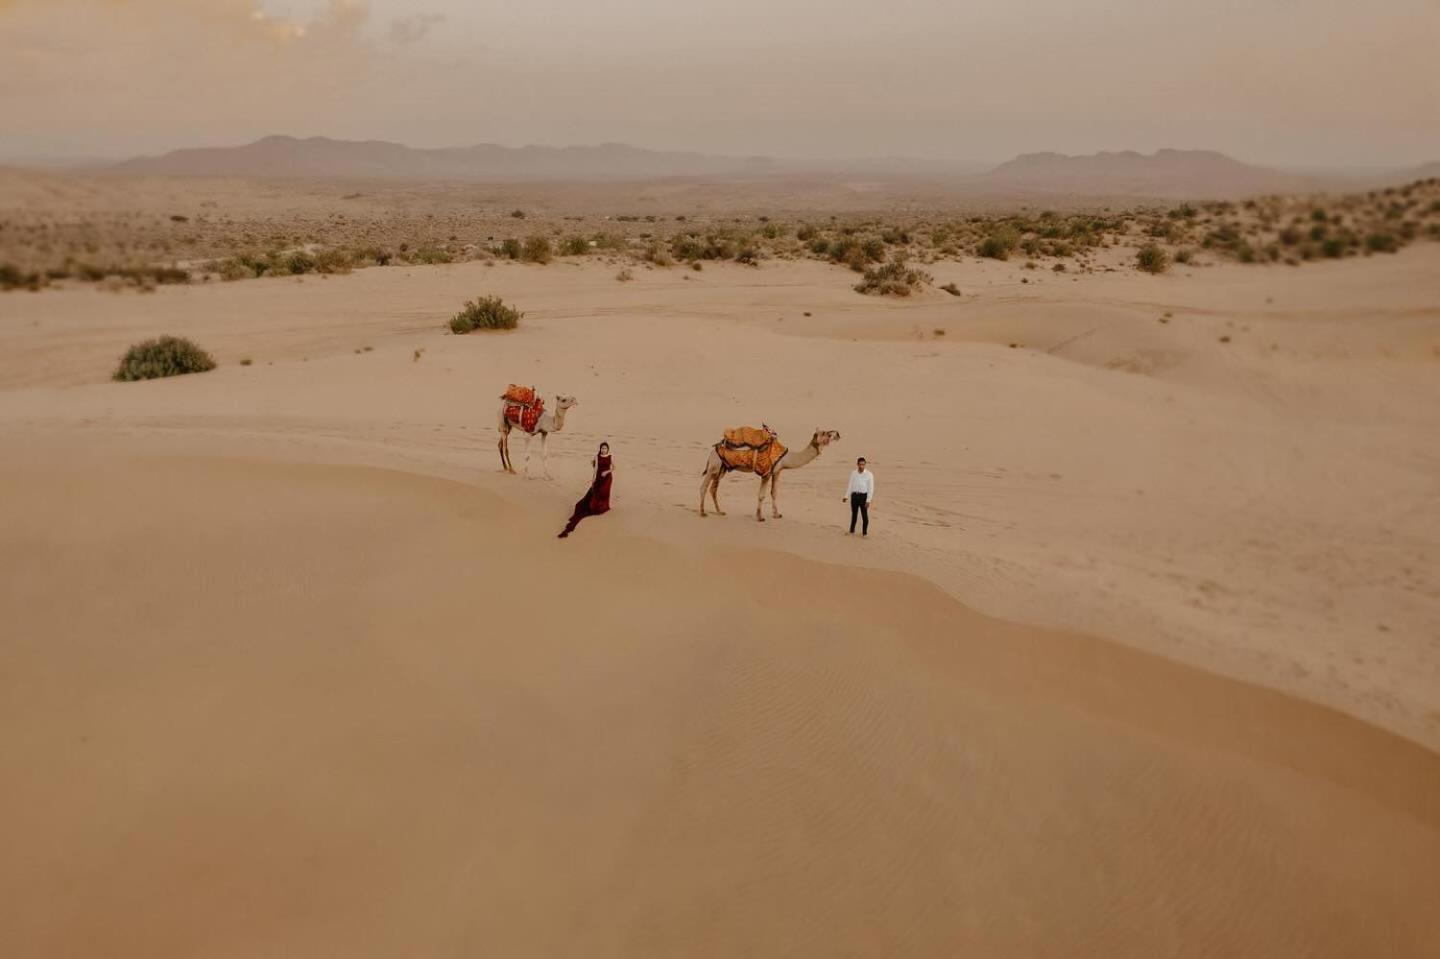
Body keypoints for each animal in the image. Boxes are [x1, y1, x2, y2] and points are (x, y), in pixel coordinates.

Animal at [699, 423, 840, 518]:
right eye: (826, 433)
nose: (837, 434)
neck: (786, 458)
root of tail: (713, 450)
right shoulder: (766, 473)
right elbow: (761, 495)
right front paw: (760, 517)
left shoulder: (776, 472)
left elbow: (774, 493)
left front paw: (777, 514)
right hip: (713, 467)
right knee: (704, 487)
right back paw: (702, 512)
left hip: (721, 469)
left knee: (713, 489)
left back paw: (720, 511)